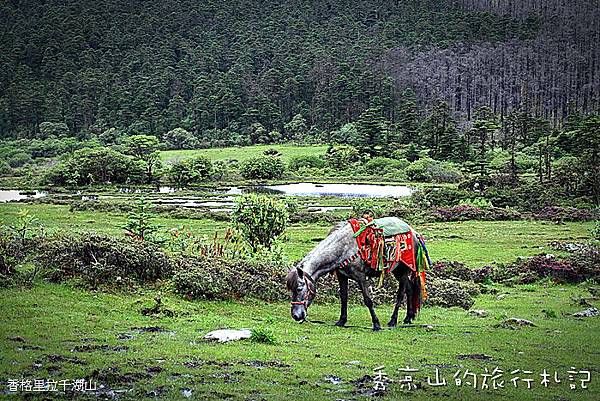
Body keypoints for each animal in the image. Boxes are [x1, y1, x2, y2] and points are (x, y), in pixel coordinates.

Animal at [284, 220, 422, 330]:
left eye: (299, 288)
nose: (296, 316)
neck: (343, 249)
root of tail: (415, 233)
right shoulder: (342, 276)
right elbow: (344, 297)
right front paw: (341, 321)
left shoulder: (360, 277)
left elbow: (368, 300)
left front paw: (376, 324)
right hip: (396, 271)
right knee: (410, 288)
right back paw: (408, 318)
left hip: (403, 269)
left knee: (401, 293)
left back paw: (393, 321)